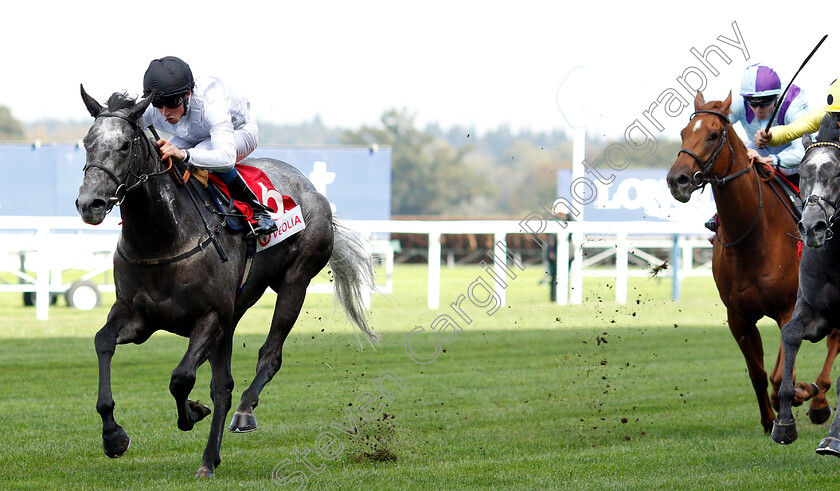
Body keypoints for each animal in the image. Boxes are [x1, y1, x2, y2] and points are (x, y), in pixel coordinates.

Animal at [668, 91, 840, 430]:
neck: (752, 237)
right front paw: (768, 418)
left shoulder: (788, 309)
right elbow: (758, 374)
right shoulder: (738, 316)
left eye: (713, 135)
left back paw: (819, 401)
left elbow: (778, 376)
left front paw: (801, 393)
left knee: (834, 343)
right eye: (683, 132)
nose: (676, 179)